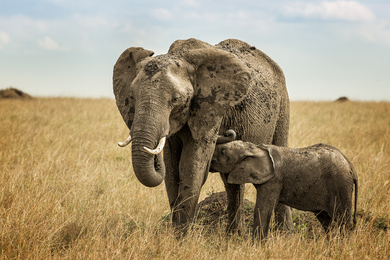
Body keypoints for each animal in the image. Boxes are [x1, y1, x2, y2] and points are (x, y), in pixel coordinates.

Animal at [112, 38, 292, 234]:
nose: (229, 132)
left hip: (283, 104)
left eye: (176, 99)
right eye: (132, 97)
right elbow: (172, 169)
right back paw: (234, 236)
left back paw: (284, 234)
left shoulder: (210, 109)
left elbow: (190, 166)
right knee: (232, 182)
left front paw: (181, 237)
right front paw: (175, 234)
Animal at [212, 140, 358, 240]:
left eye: (223, 151)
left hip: (341, 185)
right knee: (326, 221)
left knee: (342, 220)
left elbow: (262, 209)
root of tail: (351, 166)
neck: (255, 147)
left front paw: (255, 246)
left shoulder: (274, 180)